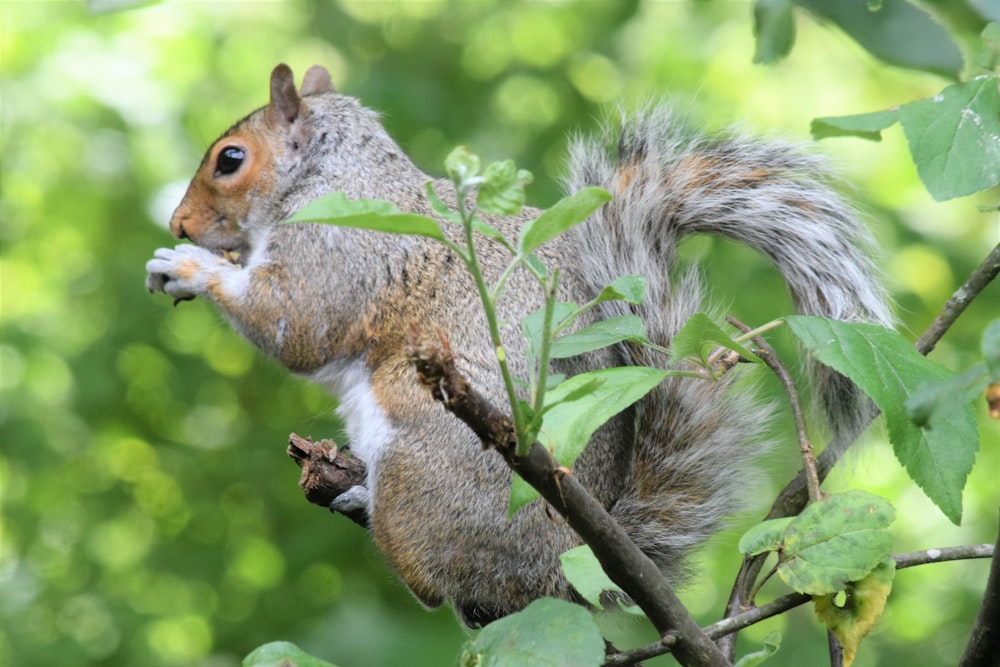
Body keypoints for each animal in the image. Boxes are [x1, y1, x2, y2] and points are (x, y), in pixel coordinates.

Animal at [143, 62, 892, 628]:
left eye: (231, 160)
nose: (179, 222)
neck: (332, 173)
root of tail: (563, 570)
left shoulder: (340, 244)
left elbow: (294, 324)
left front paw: (188, 267)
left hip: (424, 455)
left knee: (432, 579)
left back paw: (368, 507)